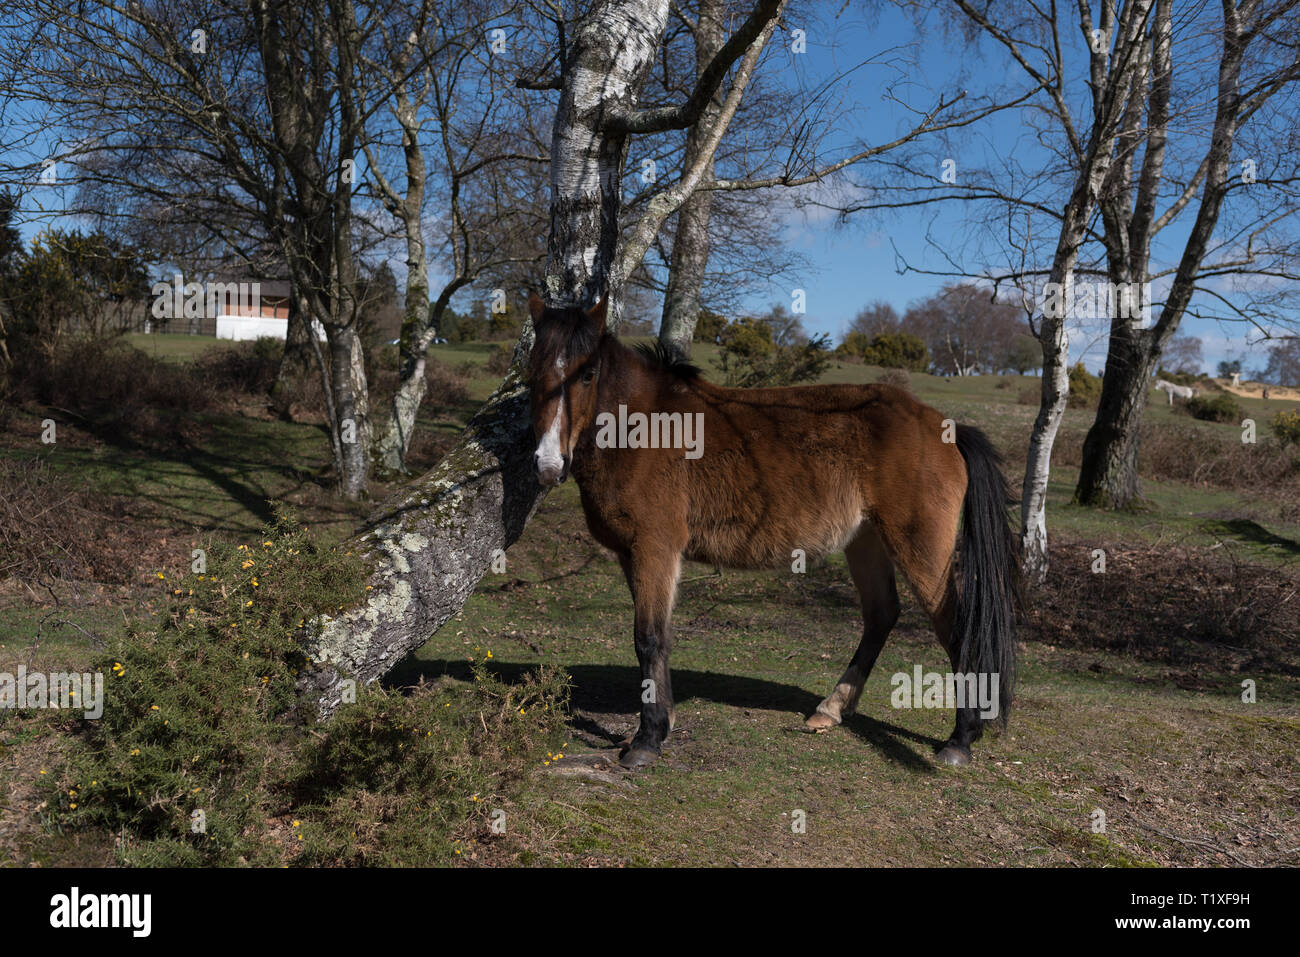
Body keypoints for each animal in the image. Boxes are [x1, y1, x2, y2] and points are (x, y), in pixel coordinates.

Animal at [525, 293, 1020, 769]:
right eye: (533, 368)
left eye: (588, 373)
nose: (547, 465)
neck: (643, 426)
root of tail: (945, 426)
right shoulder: (633, 556)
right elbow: (655, 640)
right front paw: (658, 724)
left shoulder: (655, 550)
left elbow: (649, 639)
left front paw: (647, 741)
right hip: (866, 542)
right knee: (882, 614)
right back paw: (831, 709)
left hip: (921, 549)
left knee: (954, 628)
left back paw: (960, 739)